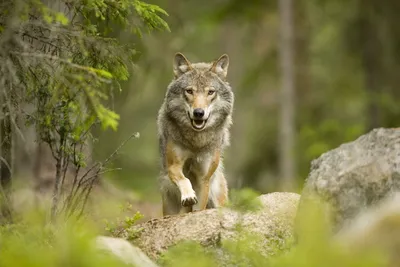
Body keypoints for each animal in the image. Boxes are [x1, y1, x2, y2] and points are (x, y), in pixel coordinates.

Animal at [157, 53, 234, 217]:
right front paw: (188, 195)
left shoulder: (203, 179)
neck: (196, 141)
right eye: (189, 91)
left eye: (210, 92)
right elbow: (184, 180)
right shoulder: (173, 166)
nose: (199, 113)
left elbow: (199, 208)